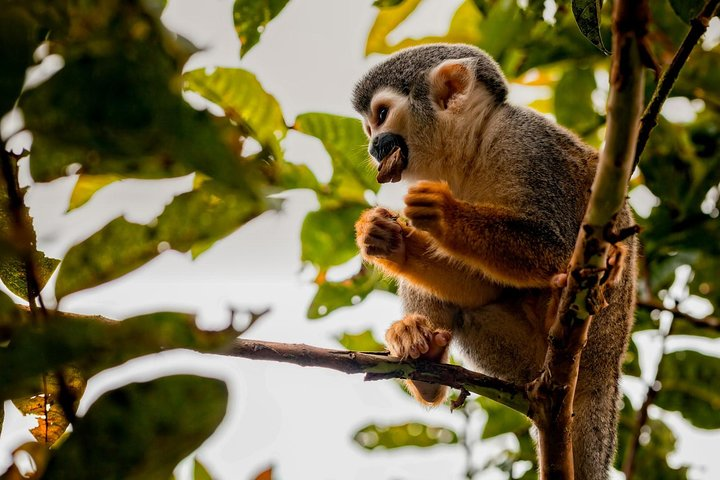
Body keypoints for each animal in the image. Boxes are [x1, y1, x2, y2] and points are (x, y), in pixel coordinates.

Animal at [352, 44, 636, 480]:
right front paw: (390, 241)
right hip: (518, 362)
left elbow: (556, 248)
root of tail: (607, 371)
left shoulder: (528, 146)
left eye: (381, 115)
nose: (373, 147)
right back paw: (424, 359)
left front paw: (446, 215)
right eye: (368, 128)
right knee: (467, 311)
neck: (473, 149)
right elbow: (478, 285)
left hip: (603, 333)